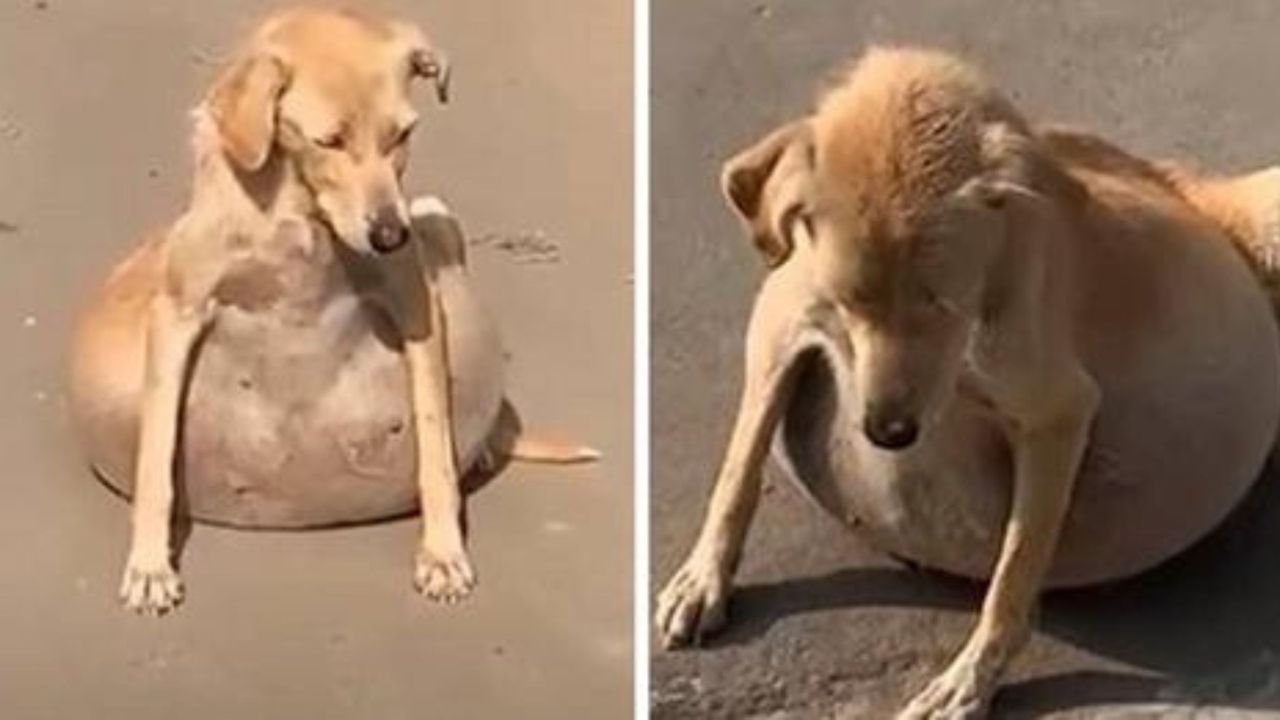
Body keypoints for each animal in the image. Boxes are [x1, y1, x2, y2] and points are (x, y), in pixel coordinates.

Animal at [66, 8, 593, 614]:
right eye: (329, 141)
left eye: (403, 134)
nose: (390, 236)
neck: (301, 213)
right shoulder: (179, 311)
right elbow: (155, 459)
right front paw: (151, 564)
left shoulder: (415, 302)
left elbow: (435, 448)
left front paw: (442, 552)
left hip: (433, 214)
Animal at [660, 47, 1280, 712]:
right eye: (850, 302)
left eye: (942, 302)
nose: (888, 432)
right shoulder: (782, 319)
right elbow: (739, 467)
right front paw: (703, 578)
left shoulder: (1057, 412)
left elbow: (1012, 575)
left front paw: (970, 677)